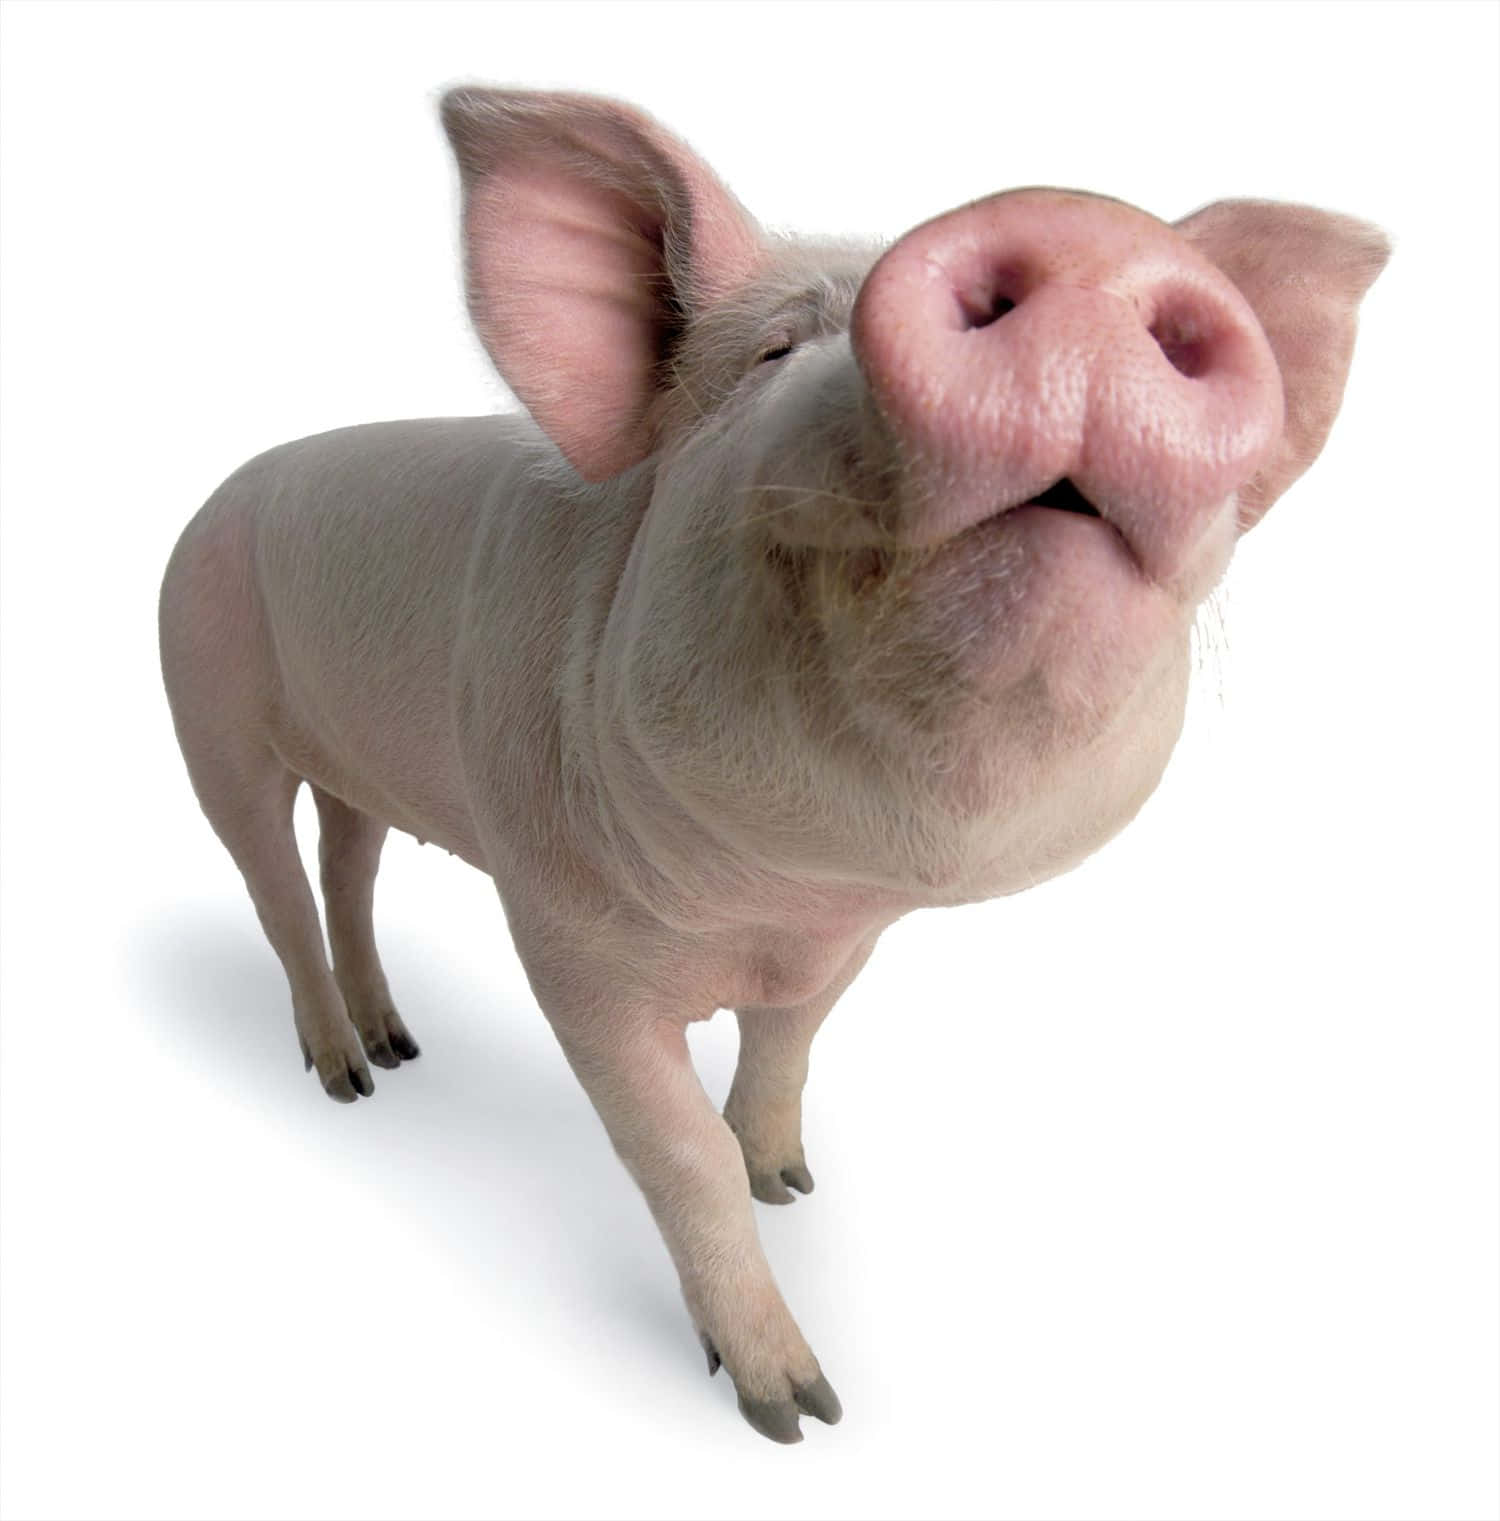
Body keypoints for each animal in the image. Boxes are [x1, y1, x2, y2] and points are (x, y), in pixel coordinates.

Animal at [157, 87, 1389, 1443]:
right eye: (774, 351)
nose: (1089, 235)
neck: (771, 907)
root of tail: (219, 492)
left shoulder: (842, 947)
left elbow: (789, 1048)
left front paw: (790, 1182)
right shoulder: (562, 936)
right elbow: (674, 1145)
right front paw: (798, 1410)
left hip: (350, 760)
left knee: (350, 862)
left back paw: (399, 1047)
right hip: (204, 701)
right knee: (275, 888)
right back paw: (345, 1082)